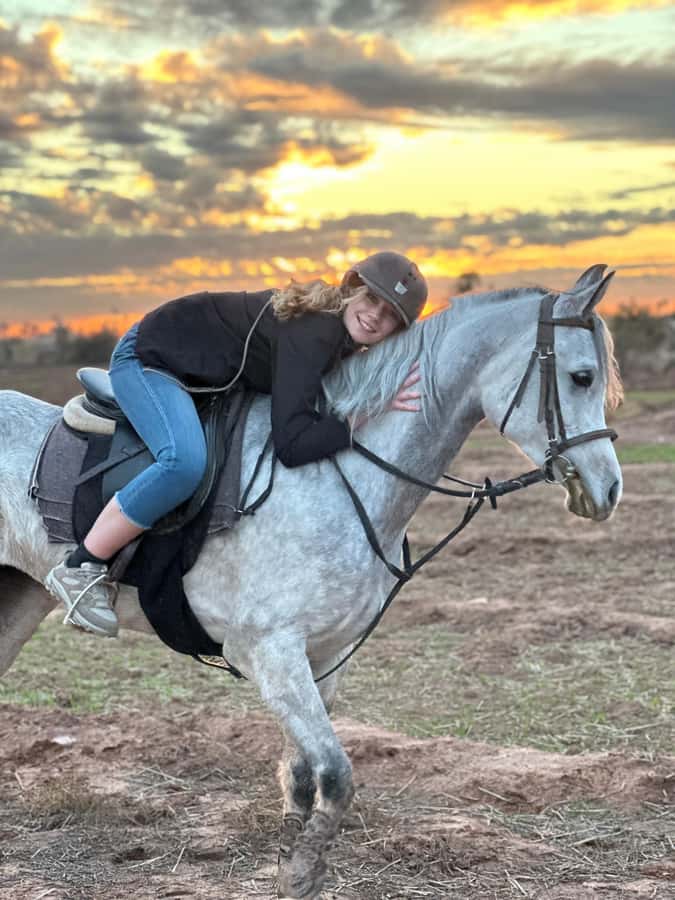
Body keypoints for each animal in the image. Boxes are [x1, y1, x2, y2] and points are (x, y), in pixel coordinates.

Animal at [0, 265, 623, 898]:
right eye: (581, 376)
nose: (608, 490)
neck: (338, 475)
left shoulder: (328, 653)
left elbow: (303, 771)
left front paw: (290, 861)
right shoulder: (268, 650)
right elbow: (336, 770)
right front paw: (301, 870)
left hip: (17, 602)